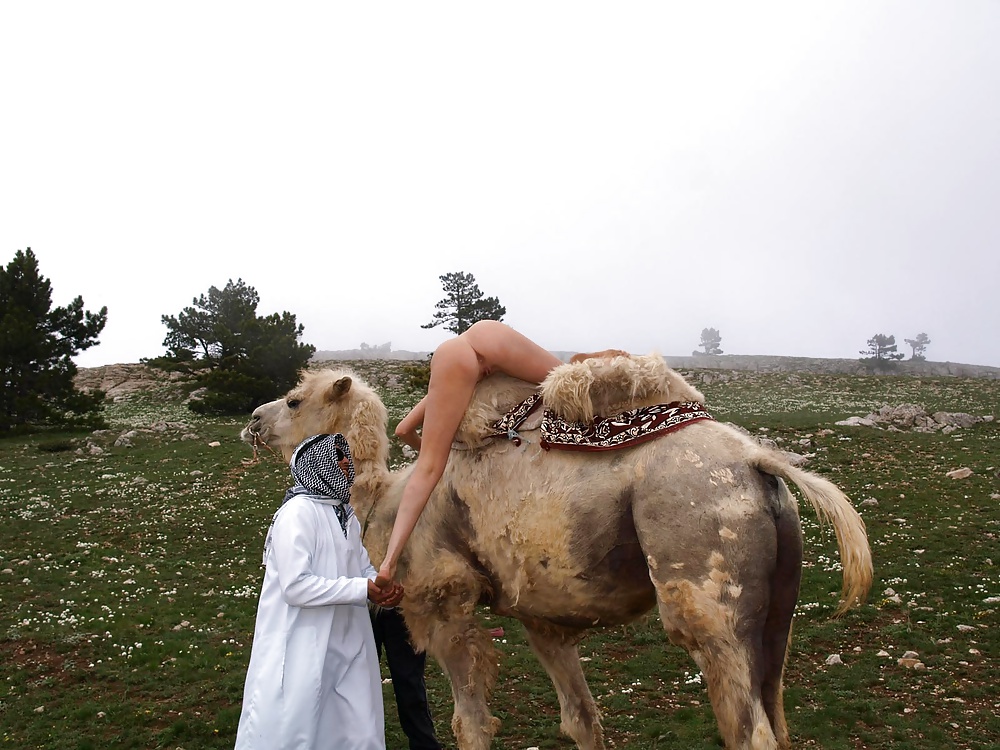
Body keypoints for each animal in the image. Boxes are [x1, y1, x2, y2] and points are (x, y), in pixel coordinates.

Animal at [240, 355, 872, 750]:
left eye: (294, 400)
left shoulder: (445, 602)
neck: (386, 502)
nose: (251, 419)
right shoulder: (540, 617)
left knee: (748, 727)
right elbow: (582, 720)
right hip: (777, 606)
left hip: (704, 572)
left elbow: (471, 724)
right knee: (777, 713)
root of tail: (758, 462)